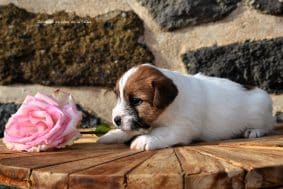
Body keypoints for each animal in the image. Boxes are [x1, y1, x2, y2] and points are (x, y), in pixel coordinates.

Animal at [97, 64, 276, 150]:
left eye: (135, 100)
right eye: (118, 96)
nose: (116, 119)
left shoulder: (181, 128)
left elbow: (161, 132)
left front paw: (144, 140)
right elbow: (130, 129)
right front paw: (112, 135)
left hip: (259, 112)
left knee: (267, 126)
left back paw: (253, 131)